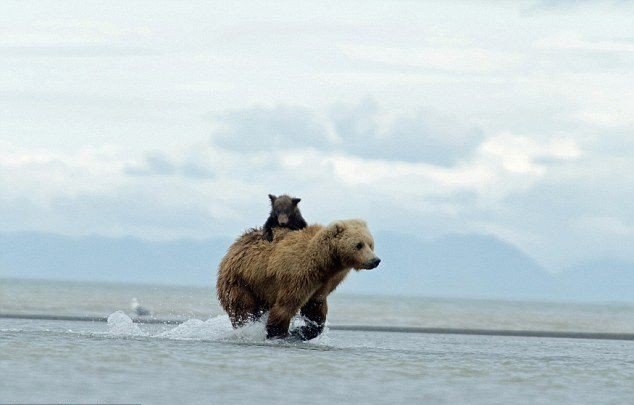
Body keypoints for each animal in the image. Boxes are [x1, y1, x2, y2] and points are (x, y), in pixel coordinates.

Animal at [215, 219, 378, 340]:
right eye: (359, 245)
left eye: (371, 244)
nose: (375, 260)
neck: (325, 263)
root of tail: (233, 248)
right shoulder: (298, 275)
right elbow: (286, 306)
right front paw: (279, 334)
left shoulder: (323, 284)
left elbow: (315, 309)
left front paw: (302, 331)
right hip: (241, 282)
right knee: (243, 309)